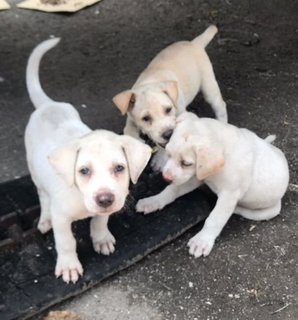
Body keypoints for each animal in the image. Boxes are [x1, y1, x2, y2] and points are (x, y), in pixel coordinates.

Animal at [25, 38, 151, 282]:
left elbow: (100, 220)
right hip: (34, 168)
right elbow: (66, 242)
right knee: (42, 194)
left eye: (119, 168)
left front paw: (101, 238)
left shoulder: (105, 208)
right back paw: (44, 219)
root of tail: (47, 105)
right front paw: (69, 266)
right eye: (83, 171)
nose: (105, 200)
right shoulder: (61, 217)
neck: (81, 198)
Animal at [113, 25, 227, 170]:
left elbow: (167, 144)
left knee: (220, 105)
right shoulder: (130, 117)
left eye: (168, 110)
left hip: (208, 85)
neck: (149, 83)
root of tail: (194, 43)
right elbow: (127, 129)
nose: (168, 134)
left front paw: (160, 159)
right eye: (145, 118)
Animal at [137, 112, 288, 258]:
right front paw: (152, 201)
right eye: (168, 154)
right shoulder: (195, 178)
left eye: (186, 163)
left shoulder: (229, 195)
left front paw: (202, 241)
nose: (166, 178)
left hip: (266, 212)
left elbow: (215, 218)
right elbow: (171, 190)